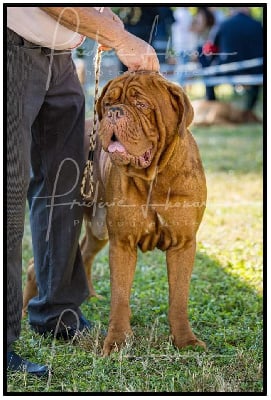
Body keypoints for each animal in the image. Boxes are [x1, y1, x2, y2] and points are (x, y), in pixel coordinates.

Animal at [23, 72, 207, 356]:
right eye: (108, 103)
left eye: (142, 105)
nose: (113, 112)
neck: (154, 178)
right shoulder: (122, 243)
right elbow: (120, 296)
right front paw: (118, 342)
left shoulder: (183, 243)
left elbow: (179, 297)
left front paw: (185, 341)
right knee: (39, 262)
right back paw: (24, 312)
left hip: (99, 228)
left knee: (85, 252)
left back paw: (90, 296)